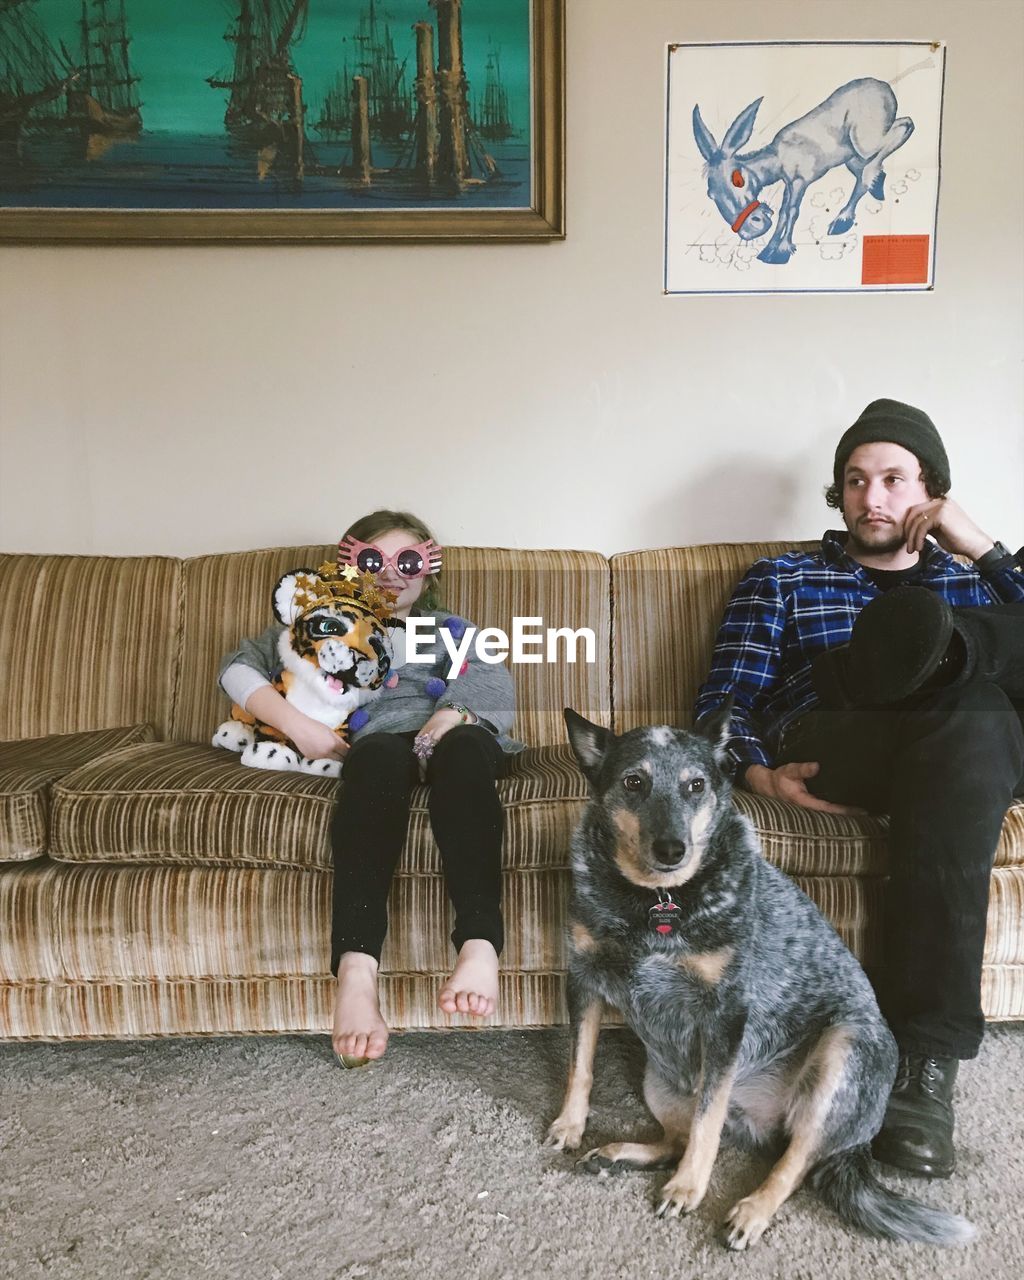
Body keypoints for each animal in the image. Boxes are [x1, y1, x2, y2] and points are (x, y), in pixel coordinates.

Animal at [542, 701, 977, 1249]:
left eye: (696, 785)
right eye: (634, 782)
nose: (672, 848)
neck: (656, 901)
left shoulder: (726, 1014)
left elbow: (708, 1122)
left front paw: (688, 1189)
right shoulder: (583, 979)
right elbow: (580, 1065)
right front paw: (570, 1125)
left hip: (845, 1051)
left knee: (793, 1162)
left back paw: (749, 1210)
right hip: (659, 1080)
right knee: (677, 1137)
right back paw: (618, 1154)